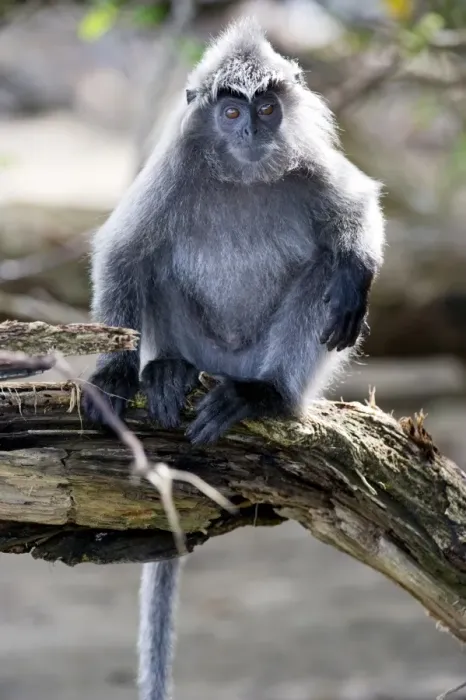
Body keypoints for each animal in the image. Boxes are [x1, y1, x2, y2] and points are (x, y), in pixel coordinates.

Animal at [82, 18, 385, 700]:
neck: (244, 177)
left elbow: (358, 208)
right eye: (229, 110)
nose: (252, 129)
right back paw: (167, 372)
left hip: (267, 355)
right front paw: (113, 374)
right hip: (197, 338)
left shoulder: (312, 165)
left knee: (324, 274)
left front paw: (359, 267)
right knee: (153, 264)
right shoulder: (170, 170)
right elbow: (121, 253)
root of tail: (230, 365)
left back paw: (265, 395)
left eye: (267, 108)